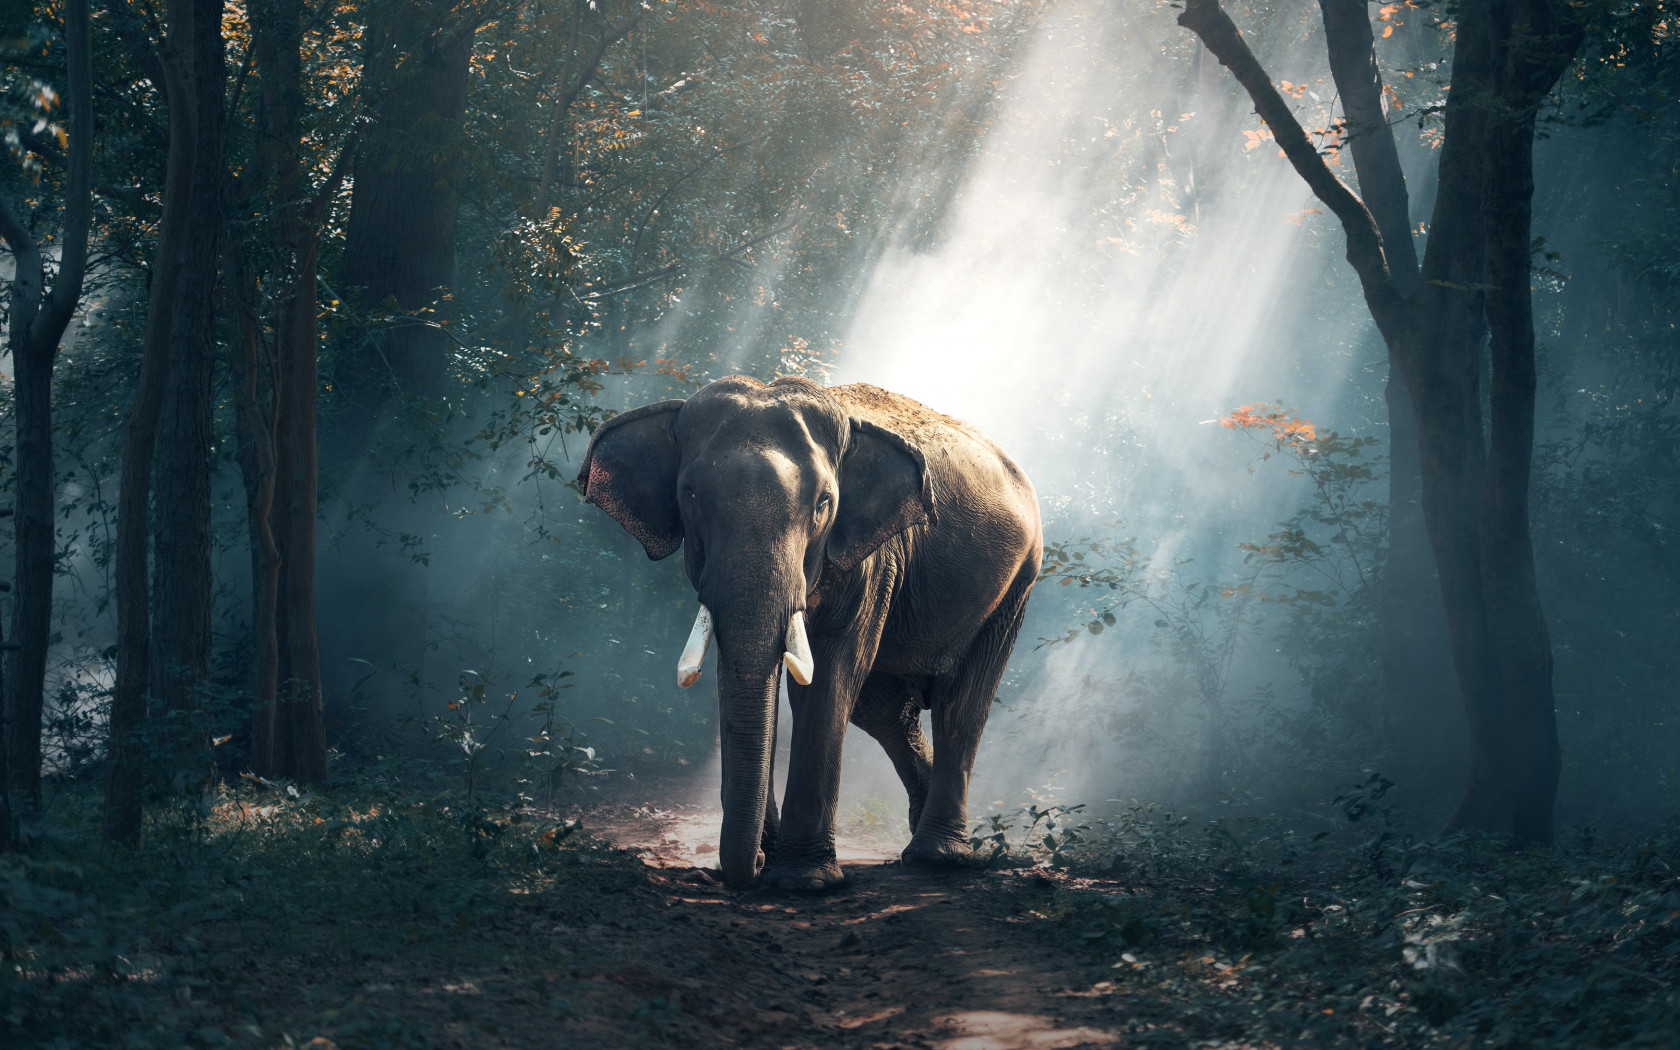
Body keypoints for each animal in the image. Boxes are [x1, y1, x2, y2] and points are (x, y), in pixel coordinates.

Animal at [577, 375, 1042, 889]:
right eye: (690, 495)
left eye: (823, 503)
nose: (753, 866)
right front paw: (773, 857)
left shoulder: (872, 559)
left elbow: (829, 676)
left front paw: (804, 881)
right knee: (885, 710)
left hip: (1016, 584)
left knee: (961, 704)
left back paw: (937, 857)